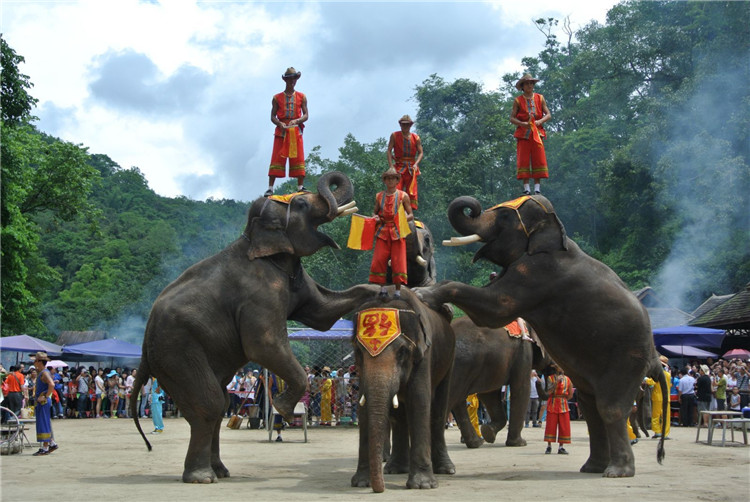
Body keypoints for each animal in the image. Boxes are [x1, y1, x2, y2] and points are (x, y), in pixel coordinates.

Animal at [131, 172, 382, 482]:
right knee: (210, 404)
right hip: (175, 349)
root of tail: (144, 344)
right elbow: (263, 344)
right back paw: (202, 477)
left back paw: (221, 471)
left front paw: (383, 291)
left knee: (220, 403)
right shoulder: (258, 293)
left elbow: (322, 314)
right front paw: (283, 410)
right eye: (301, 204)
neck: (252, 237)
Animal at [352, 288, 458, 492]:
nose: (380, 488)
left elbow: (419, 400)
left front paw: (422, 485)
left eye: (402, 351)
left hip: (449, 360)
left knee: (438, 411)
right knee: (400, 416)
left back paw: (446, 469)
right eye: (358, 352)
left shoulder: (424, 354)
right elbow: (363, 405)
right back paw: (395, 469)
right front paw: (360, 483)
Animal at [450, 316, 556, 450]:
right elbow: (521, 388)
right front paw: (519, 444)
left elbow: (488, 394)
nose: (538, 380)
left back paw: (476, 443)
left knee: (457, 401)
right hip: (462, 363)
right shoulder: (524, 352)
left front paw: (488, 433)